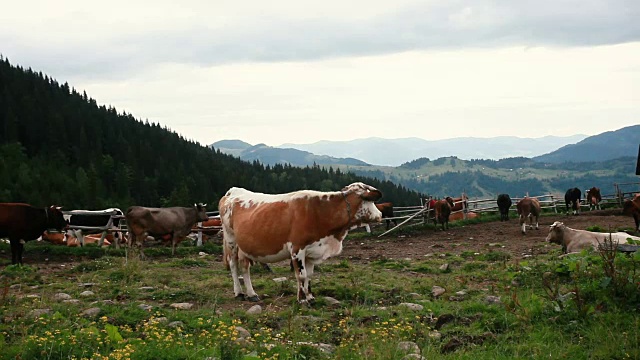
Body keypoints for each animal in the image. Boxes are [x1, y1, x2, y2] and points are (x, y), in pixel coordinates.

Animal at [220, 183, 382, 304]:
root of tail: (233, 191)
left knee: (245, 267)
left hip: (244, 246)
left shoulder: (312, 250)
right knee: (234, 265)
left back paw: (252, 294)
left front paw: (309, 296)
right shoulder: (297, 249)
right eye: (370, 200)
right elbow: (301, 275)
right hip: (231, 240)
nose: (380, 215)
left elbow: (309, 275)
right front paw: (302, 300)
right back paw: (239, 293)